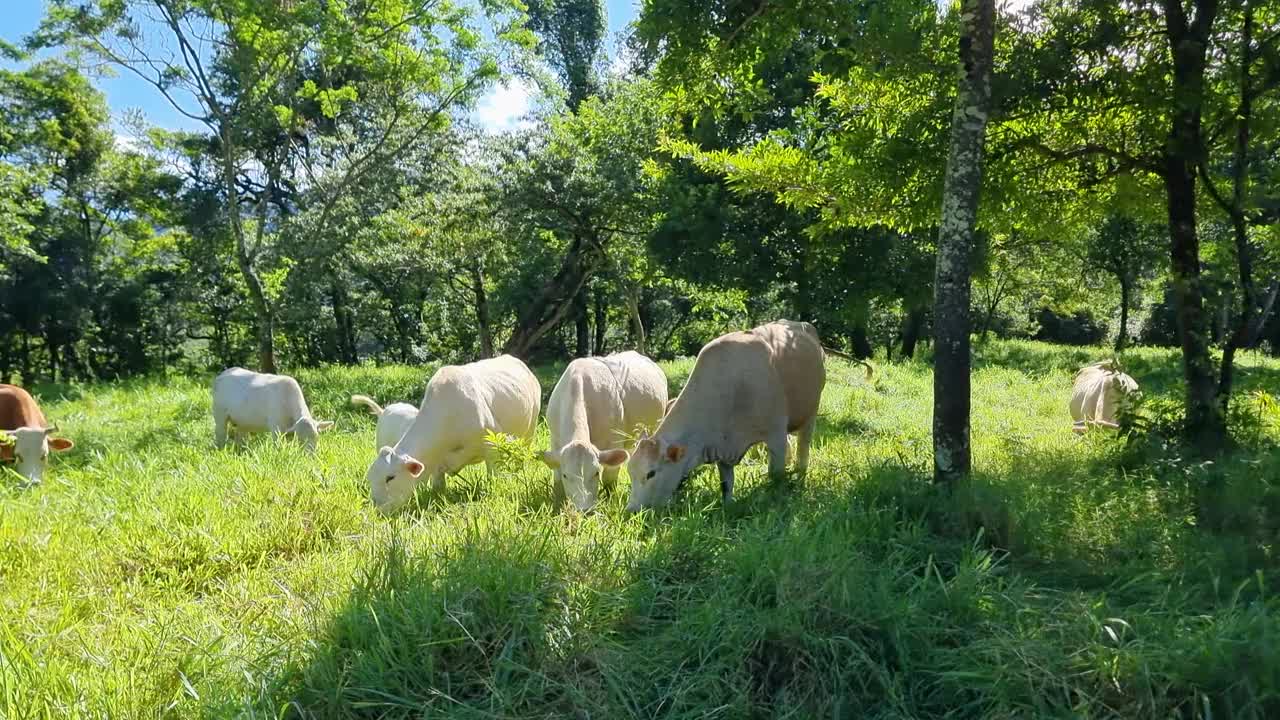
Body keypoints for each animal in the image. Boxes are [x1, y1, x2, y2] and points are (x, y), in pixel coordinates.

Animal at [366, 353, 540, 512]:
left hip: (530, 430)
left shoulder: (491, 445)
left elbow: (494, 477)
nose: (378, 507)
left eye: (390, 478)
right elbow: (438, 487)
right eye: (370, 478)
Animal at [540, 348, 670, 509]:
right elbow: (557, 480)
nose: (585, 509)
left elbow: (609, 480)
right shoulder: (555, 441)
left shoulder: (614, 441)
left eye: (596, 473)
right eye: (566, 475)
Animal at [624, 319, 824, 509]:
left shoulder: (776, 436)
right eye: (630, 471)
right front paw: (727, 506)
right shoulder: (723, 446)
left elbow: (776, 476)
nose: (631, 510)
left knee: (803, 451)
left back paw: (800, 480)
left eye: (651, 473)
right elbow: (726, 484)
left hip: (811, 413)